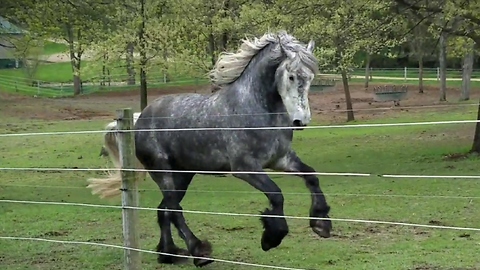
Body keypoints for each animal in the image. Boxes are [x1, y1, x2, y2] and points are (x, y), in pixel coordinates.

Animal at [88, 30, 332, 266]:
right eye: (291, 76)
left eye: (310, 77)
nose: (301, 121)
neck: (253, 108)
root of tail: (140, 118)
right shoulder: (245, 168)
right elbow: (276, 194)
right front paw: (271, 237)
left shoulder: (281, 160)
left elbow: (311, 176)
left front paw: (321, 224)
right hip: (162, 171)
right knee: (174, 209)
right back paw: (199, 252)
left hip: (183, 175)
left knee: (164, 209)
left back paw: (169, 254)